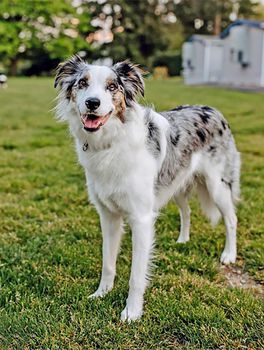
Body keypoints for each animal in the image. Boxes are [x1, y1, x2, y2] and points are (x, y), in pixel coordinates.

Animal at [54, 55, 240, 322]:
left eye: (112, 86)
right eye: (82, 83)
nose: (92, 103)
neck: (111, 142)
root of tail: (212, 109)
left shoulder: (141, 218)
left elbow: (136, 275)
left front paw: (131, 312)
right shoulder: (108, 216)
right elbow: (107, 262)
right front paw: (102, 293)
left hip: (217, 186)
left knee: (231, 219)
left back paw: (228, 255)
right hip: (176, 183)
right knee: (186, 211)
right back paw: (183, 240)